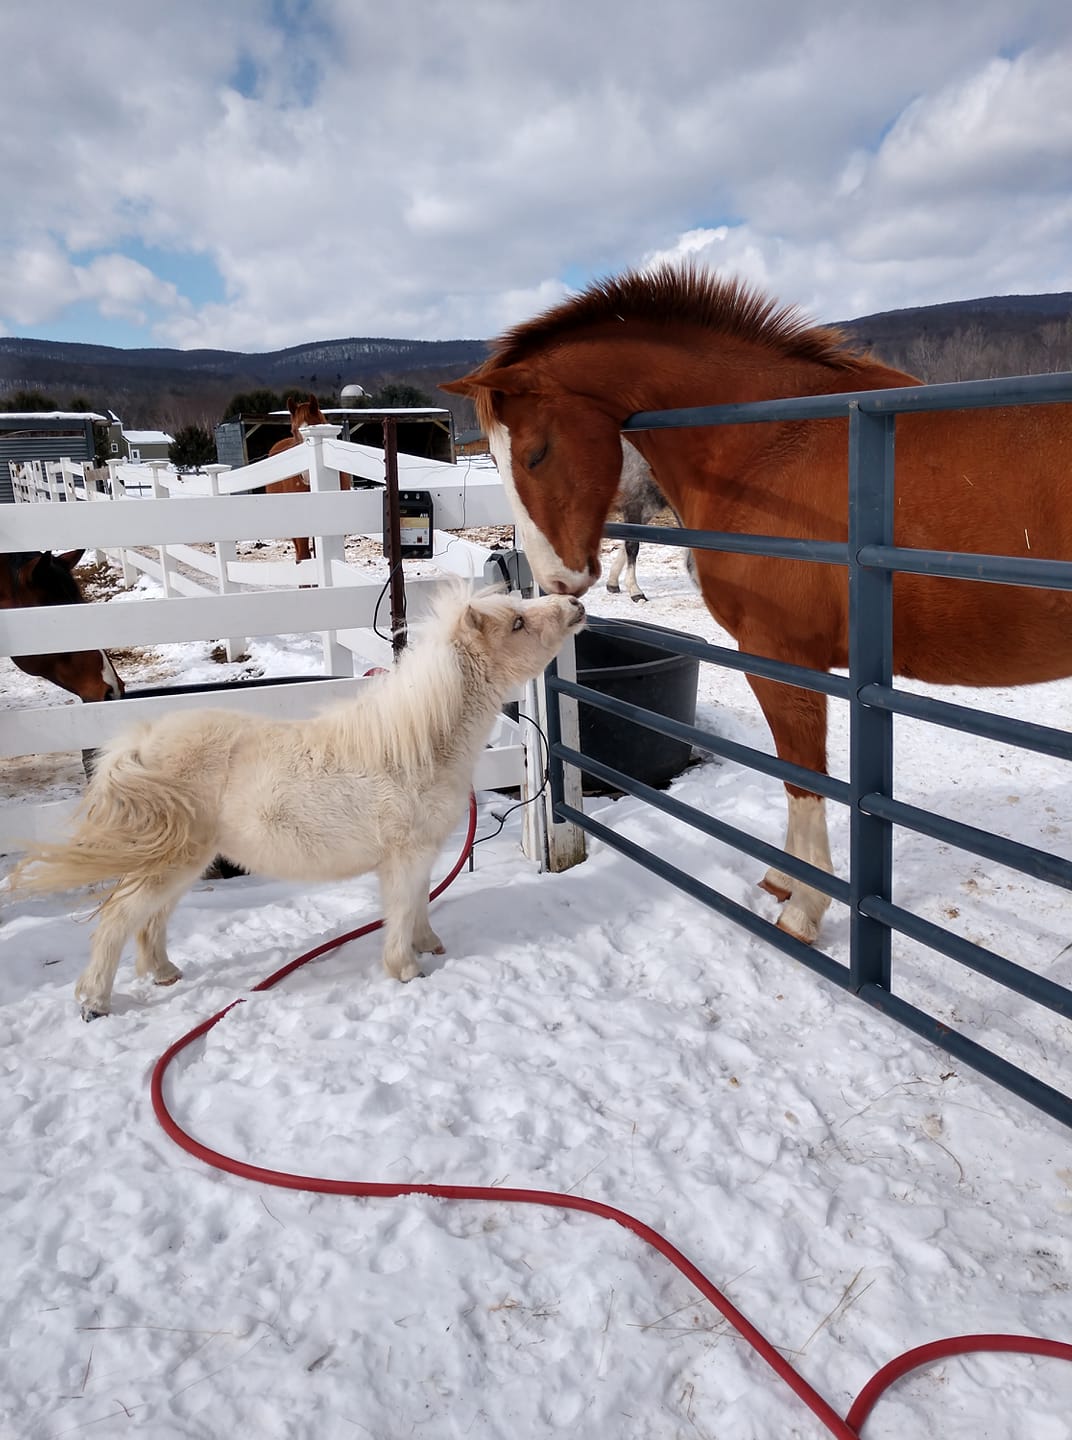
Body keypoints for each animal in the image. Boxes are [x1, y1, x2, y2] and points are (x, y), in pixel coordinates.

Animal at [14, 578, 584, 1019]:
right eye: (516, 623)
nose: (575, 606)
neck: (416, 743)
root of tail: (139, 745)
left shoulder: (420, 855)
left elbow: (420, 903)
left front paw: (429, 946)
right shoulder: (403, 857)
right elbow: (402, 910)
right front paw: (406, 969)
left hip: (181, 863)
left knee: (149, 920)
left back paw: (164, 974)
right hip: (172, 863)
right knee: (118, 917)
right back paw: (93, 1002)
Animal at [440, 266, 1072, 950]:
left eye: (537, 452)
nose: (559, 581)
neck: (771, 439)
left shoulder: (783, 657)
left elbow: (804, 776)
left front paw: (804, 909)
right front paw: (784, 881)